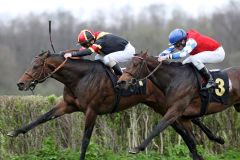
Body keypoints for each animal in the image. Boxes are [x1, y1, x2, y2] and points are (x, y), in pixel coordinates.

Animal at [7, 50, 224, 159]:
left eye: (36, 66)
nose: (20, 83)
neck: (79, 77)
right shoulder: (68, 105)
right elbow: (41, 117)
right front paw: (15, 131)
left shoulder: (91, 110)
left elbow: (85, 140)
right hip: (160, 105)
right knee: (186, 125)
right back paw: (211, 141)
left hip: (167, 105)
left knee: (190, 122)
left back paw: (216, 139)